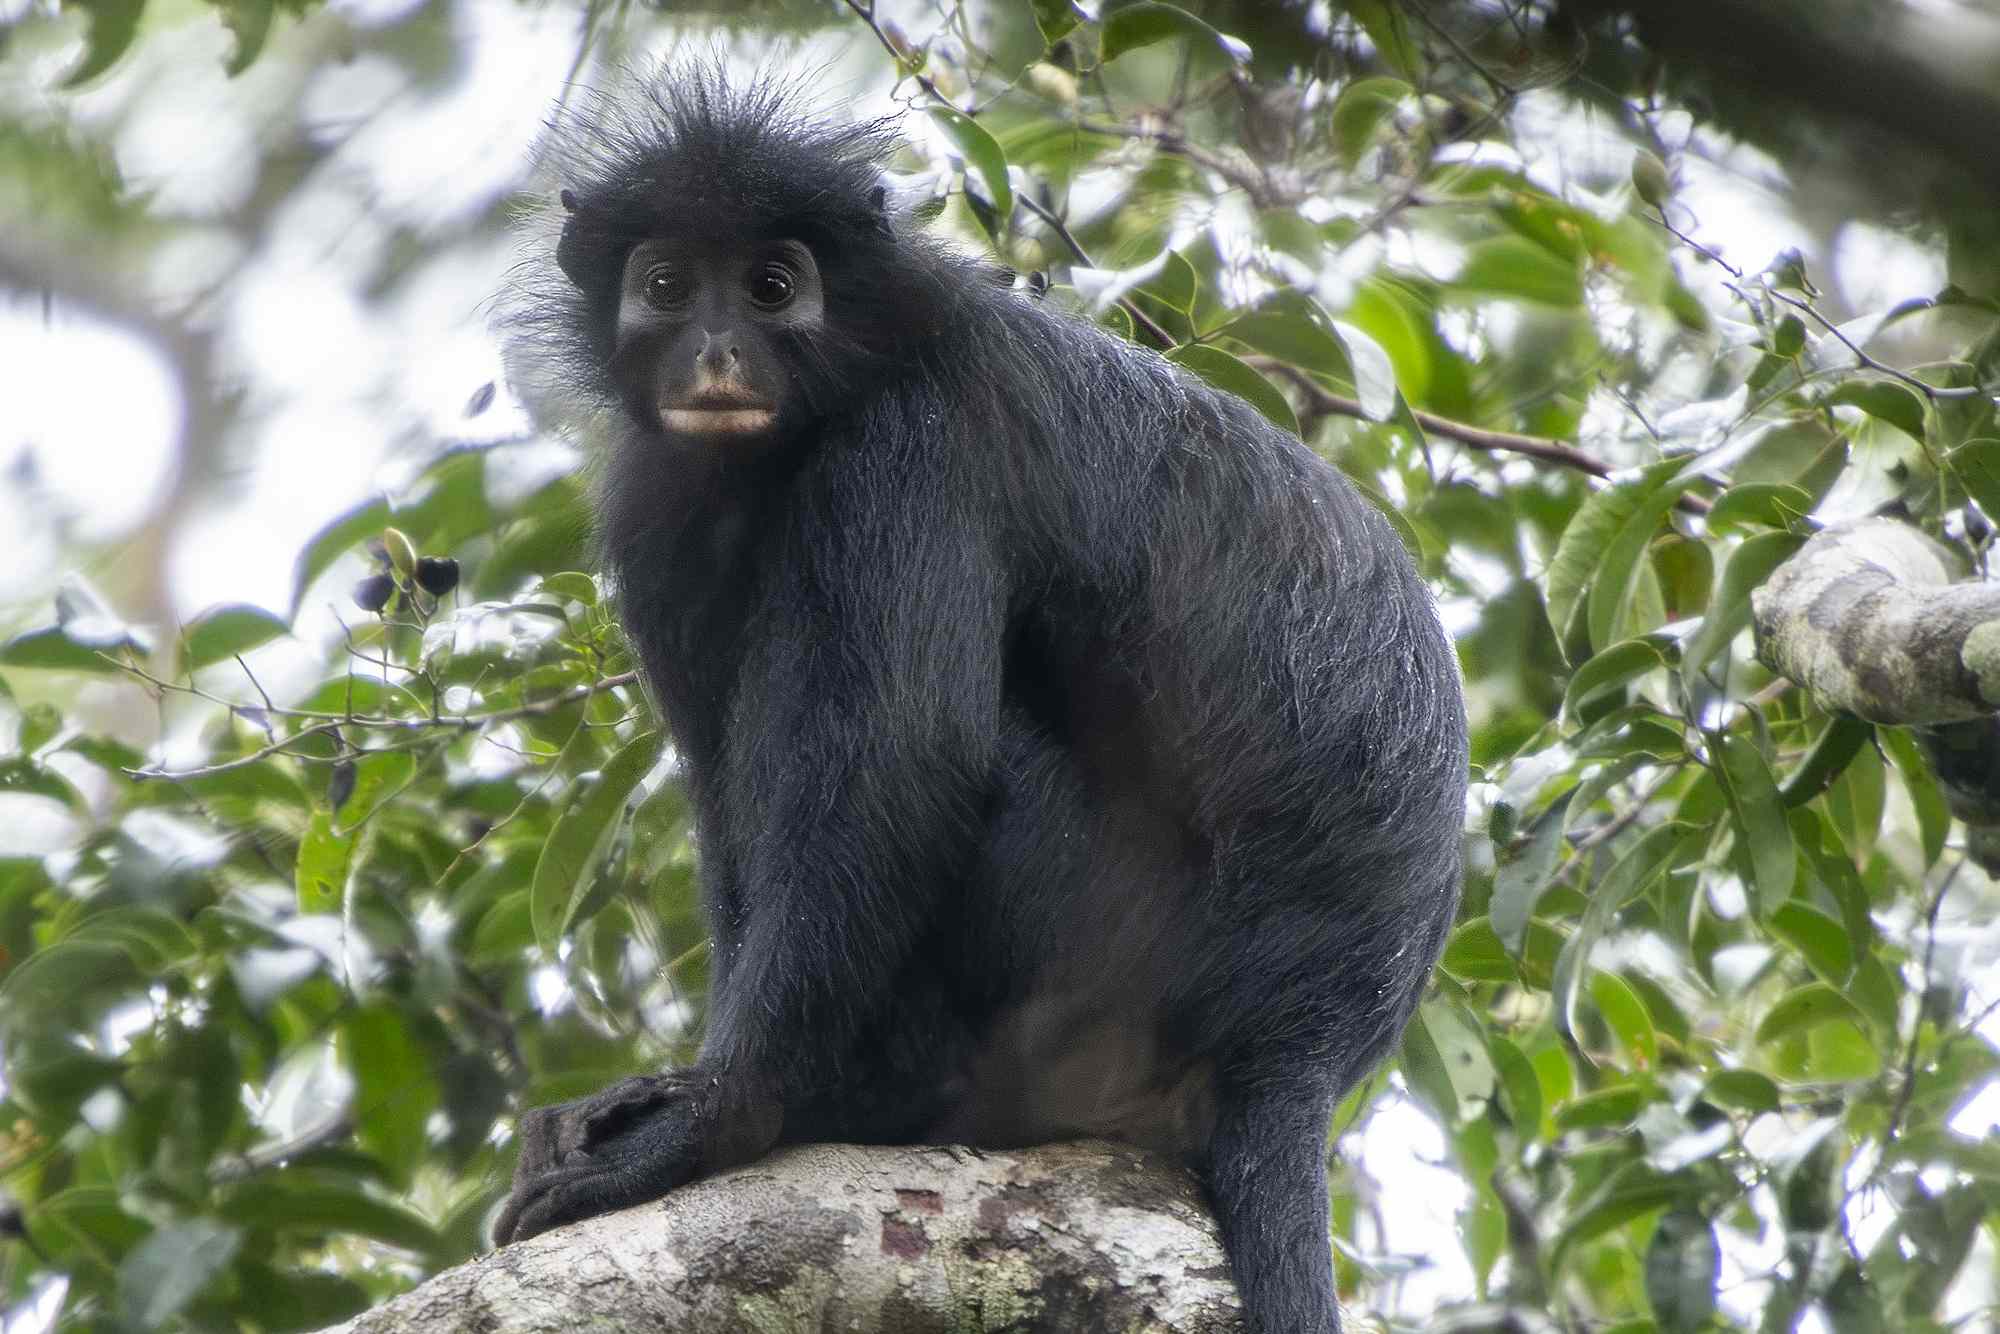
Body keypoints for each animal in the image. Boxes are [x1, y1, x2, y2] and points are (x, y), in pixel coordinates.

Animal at [493, 74, 1467, 1333]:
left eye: (771, 287)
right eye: (666, 286)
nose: (715, 351)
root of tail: (1304, 1037)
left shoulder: (914, 441)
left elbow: (901, 766)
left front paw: (721, 1111)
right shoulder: (659, 503)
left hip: (1092, 947)